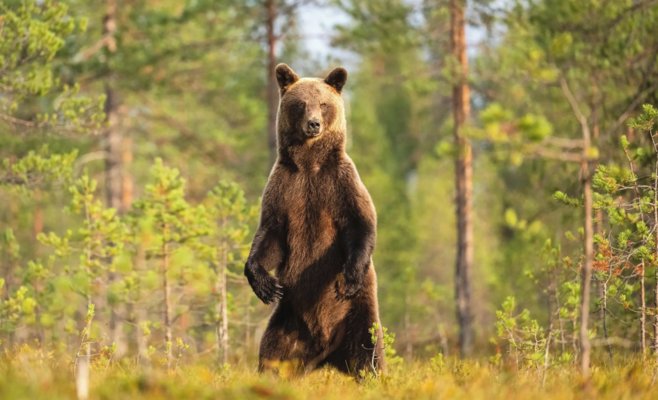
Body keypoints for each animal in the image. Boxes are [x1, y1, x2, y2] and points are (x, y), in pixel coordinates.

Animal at [244, 63, 385, 377]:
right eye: (300, 104)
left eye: (323, 103)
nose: (313, 124)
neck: (309, 164)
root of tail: (326, 354)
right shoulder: (284, 189)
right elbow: (270, 236)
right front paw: (264, 284)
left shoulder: (339, 183)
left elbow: (361, 223)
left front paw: (348, 279)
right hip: (288, 321)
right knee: (271, 353)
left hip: (358, 314)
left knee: (368, 351)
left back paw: (373, 374)